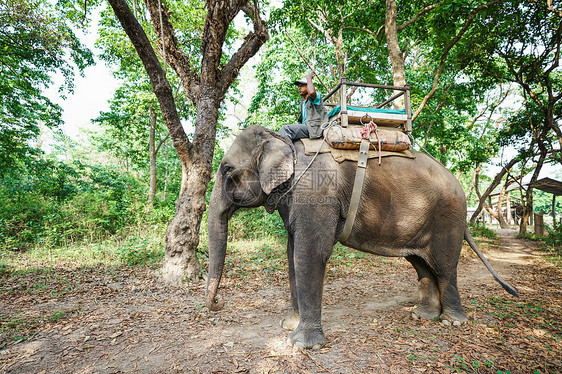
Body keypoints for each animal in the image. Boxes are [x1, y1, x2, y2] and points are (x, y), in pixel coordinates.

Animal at [206, 126, 516, 350]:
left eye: (226, 170)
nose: (218, 302)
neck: (284, 143)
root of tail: (459, 185)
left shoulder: (317, 195)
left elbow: (310, 253)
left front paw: (303, 345)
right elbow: (292, 252)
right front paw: (289, 325)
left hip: (447, 216)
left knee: (444, 267)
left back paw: (452, 322)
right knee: (421, 264)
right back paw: (423, 315)